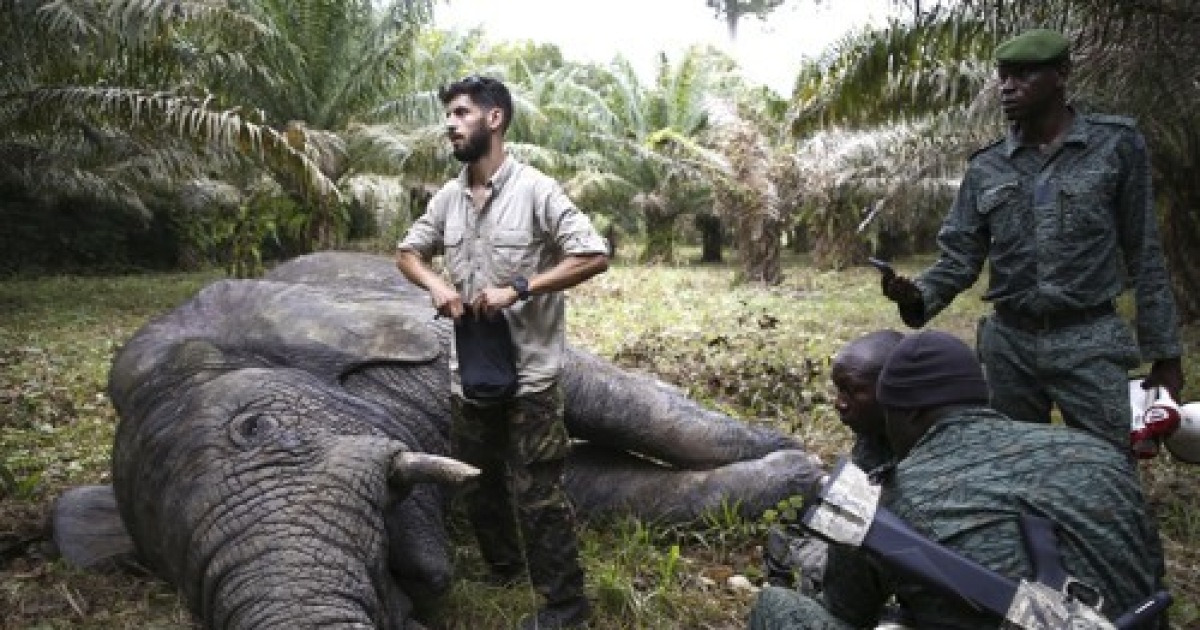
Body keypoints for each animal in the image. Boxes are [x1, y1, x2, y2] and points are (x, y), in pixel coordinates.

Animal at [54, 252, 825, 628]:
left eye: (257, 428)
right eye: (176, 580)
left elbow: (620, 402)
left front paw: (809, 469)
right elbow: (589, 490)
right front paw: (800, 479)